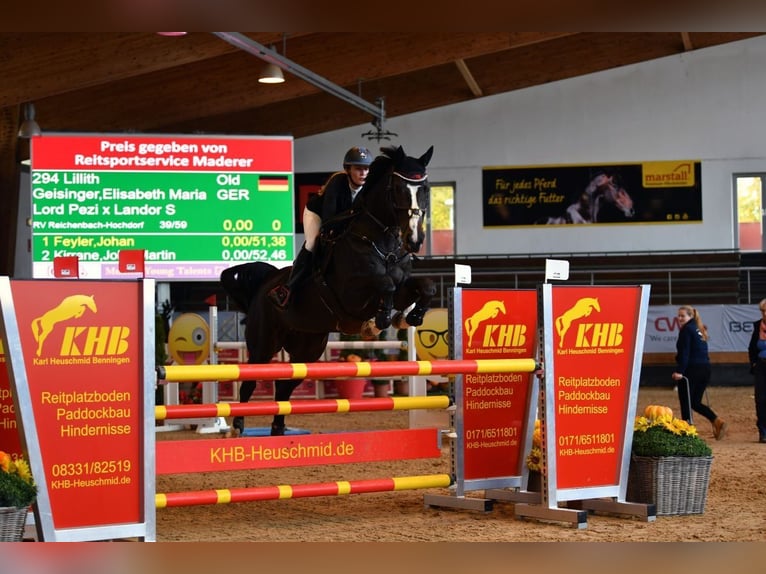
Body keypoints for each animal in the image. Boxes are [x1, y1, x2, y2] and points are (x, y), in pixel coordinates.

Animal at [222, 145, 438, 436]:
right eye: (399, 188)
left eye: (424, 188)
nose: (414, 241)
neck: (381, 242)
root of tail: (265, 283)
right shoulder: (353, 295)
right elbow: (385, 284)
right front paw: (377, 322)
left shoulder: (403, 285)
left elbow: (424, 286)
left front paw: (409, 317)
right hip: (264, 343)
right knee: (249, 381)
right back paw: (237, 427)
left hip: (308, 348)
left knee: (284, 386)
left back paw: (278, 430)